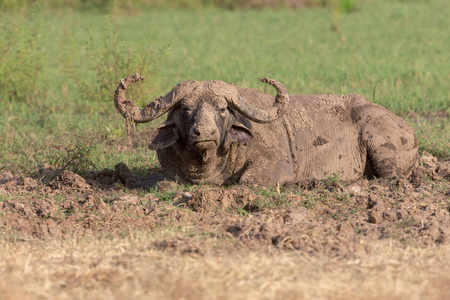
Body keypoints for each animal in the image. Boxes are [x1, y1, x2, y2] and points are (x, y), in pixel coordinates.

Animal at [113, 73, 418, 185]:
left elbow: (247, 181)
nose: (205, 134)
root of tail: (406, 126)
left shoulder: (275, 166)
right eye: (186, 109)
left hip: (381, 146)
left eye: (221, 109)